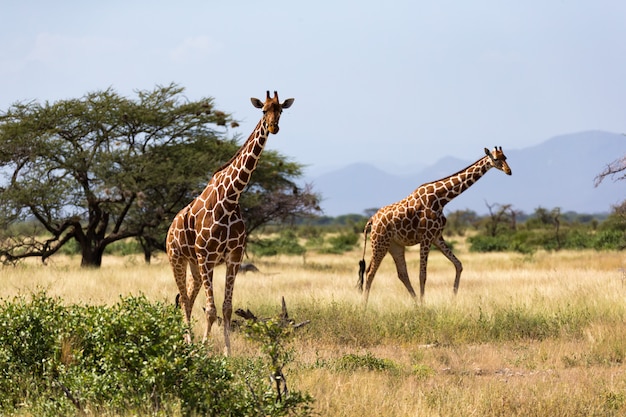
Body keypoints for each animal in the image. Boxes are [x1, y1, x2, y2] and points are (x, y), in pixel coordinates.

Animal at [165, 89, 294, 352]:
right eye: (263, 110)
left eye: (281, 110)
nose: (273, 127)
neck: (231, 198)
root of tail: (170, 227)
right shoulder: (207, 256)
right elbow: (211, 310)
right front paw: (205, 349)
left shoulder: (233, 257)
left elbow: (226, 308)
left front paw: (227, 352)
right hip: (177, 258)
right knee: (184, 299)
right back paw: (188, 343)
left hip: (194, 263)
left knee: (188, 298)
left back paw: (188, 341)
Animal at [356, 146, 512, 302]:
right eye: (496, 159)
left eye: (505, 157)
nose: (509, 171)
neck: (441, 199)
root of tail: (371, 220)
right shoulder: (426, 237)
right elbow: (422, 275)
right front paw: (425, 303)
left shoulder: (436, 236)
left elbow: (458, 264)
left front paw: (453, 297)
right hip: (379, 242)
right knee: (370, 272)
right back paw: (364, 304)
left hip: (395, 245)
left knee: (401, 273)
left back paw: (415, 303)